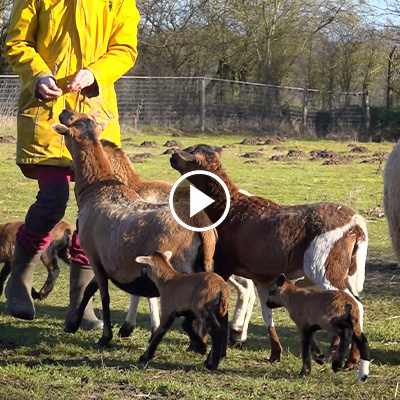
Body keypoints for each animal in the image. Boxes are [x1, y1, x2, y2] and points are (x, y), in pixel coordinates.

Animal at [53, 111, 217, 348]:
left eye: (72, 119)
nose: (63, 112)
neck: (96, 188)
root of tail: (200, 226)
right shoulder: (105, 260)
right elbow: (90, 289)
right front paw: (73, 325)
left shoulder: (94, 256)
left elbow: (104, 296)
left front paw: (106, 337)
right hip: (205, 263)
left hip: (180, 266)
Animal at [170, 145, 368, 366]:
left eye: (189, 154)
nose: (172, 157)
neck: (226, 207)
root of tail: (356, 225)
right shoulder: (263, 277)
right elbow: (267, 313)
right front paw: (275, 353)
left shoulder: (223, 264)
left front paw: (209, 350)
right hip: (349, 273)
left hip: (324, 269)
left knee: (355, 305)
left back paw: (351, 359)